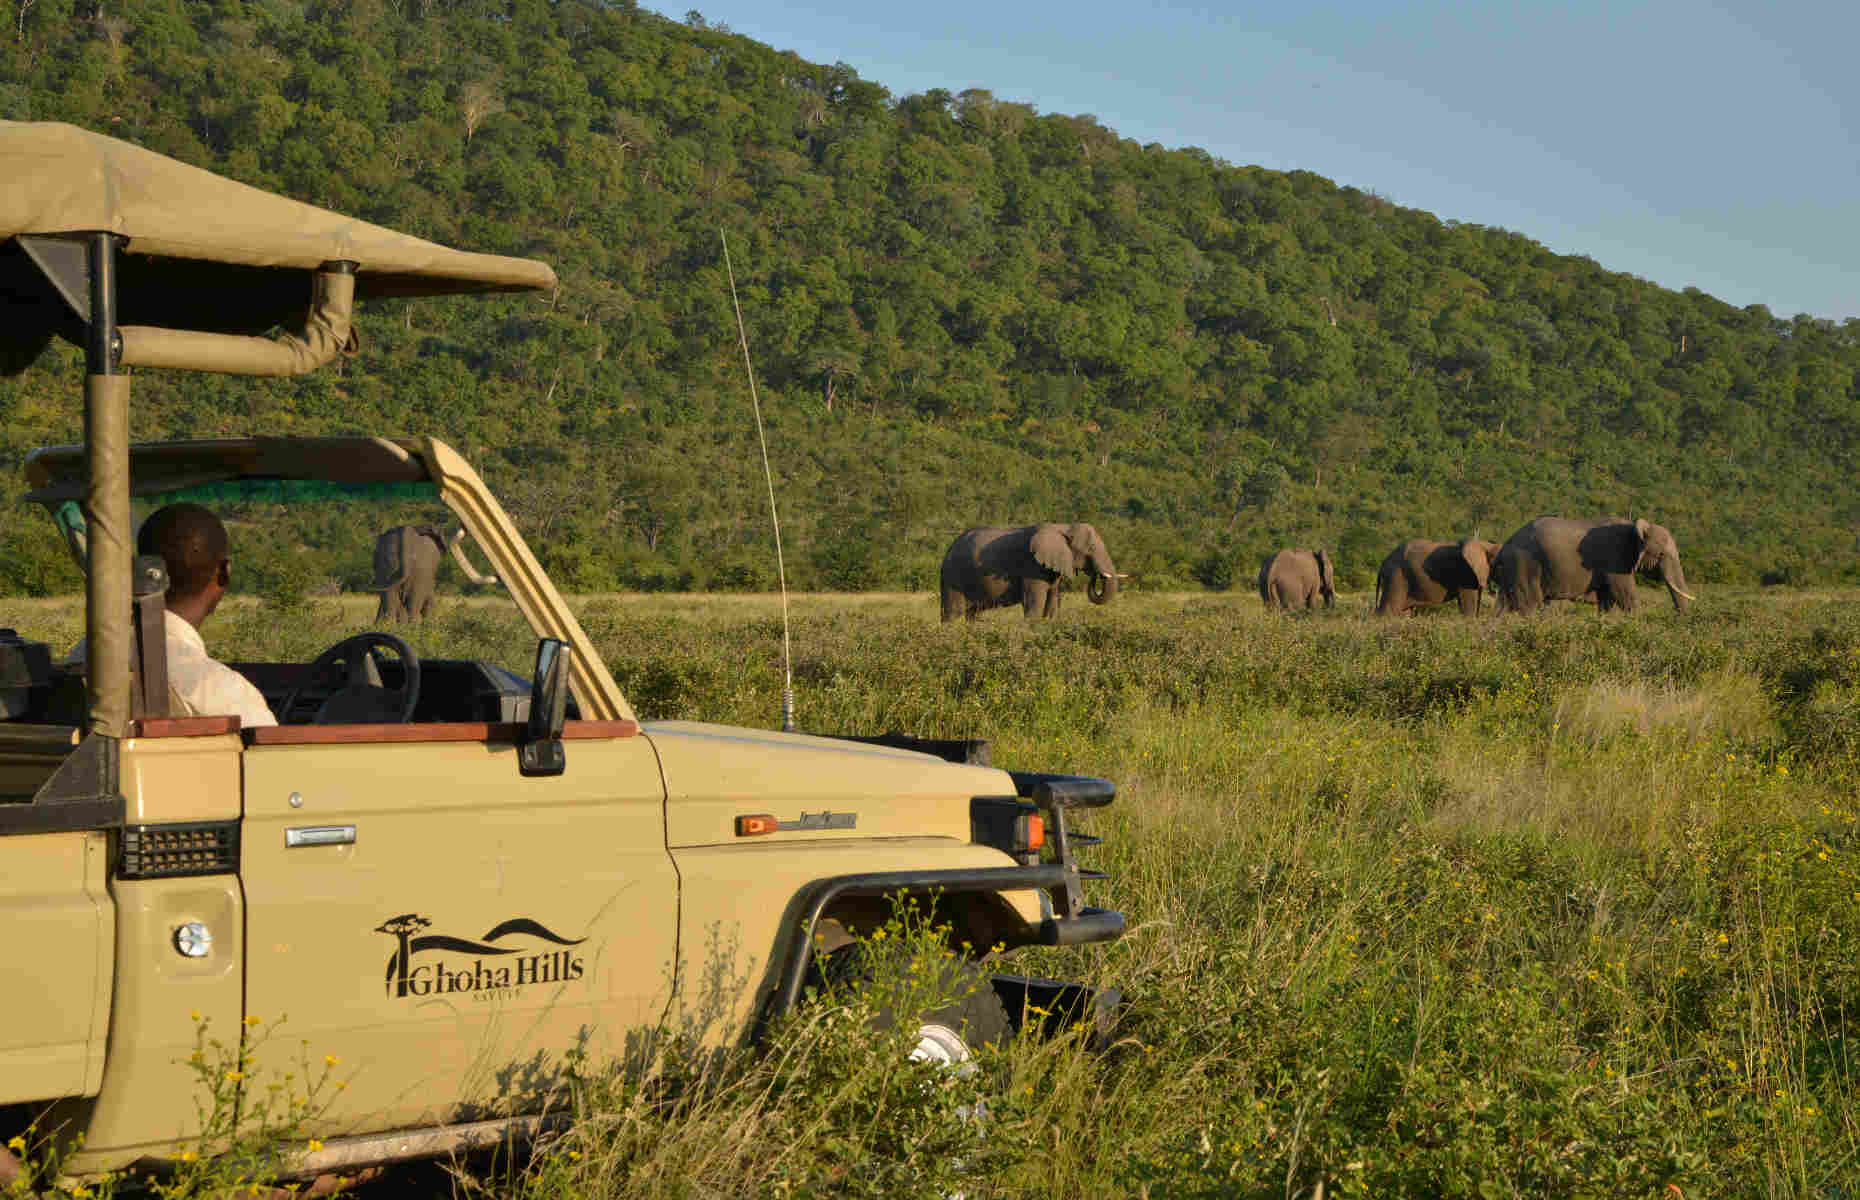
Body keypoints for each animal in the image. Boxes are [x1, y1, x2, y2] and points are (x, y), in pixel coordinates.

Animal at [944, 520, 1116, 621]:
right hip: (953, 576)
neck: (1062, 526)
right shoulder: (1031, 566)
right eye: (1091, 548)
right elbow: (1034, 603)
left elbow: (1052, 602)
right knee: (953, 613)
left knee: (972, 614)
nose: (1094, 575)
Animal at [1488, 513, 1696, 613]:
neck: (1634, 527)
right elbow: (1625, 596)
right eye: (1661, 554)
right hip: (1523, 563)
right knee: (1529, 604)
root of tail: (1505, 546)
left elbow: (1607, 600)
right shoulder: (1614, 558)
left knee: (1504, 606)